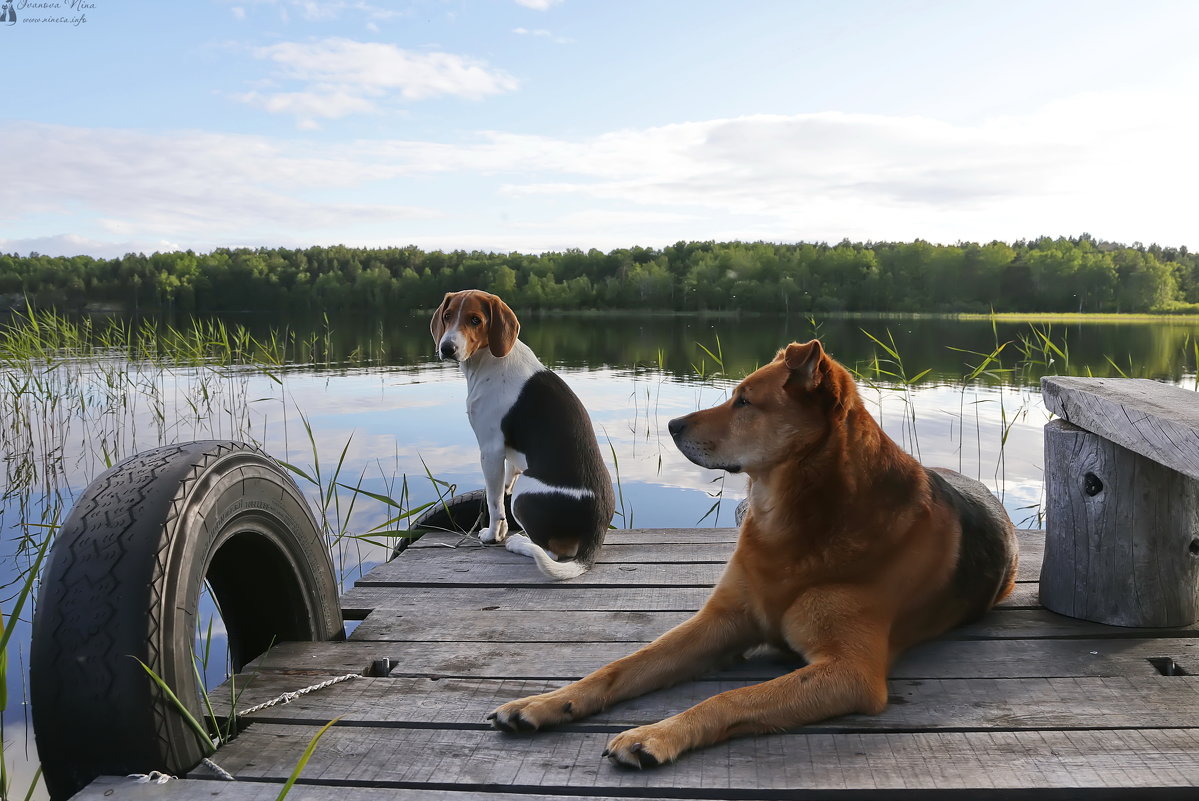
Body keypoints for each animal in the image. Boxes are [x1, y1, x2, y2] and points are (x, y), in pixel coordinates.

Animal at [431, 291, 613, 577]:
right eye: (448, 316)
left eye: (475, 320)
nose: (447, 348)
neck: (489, 360)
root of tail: (595, 532)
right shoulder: (508, 458)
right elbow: (504, 485)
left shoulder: (490, 449)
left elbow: (494, 503)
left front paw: (493, 535)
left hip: (524, 493)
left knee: (551, 553)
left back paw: (518, 543)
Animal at [481, 340, 1016, 767]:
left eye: (744, 401)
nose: (672, 424)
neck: (792, 526)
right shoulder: (719, 622)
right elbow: (623, 666)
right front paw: (548, 702)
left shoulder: (850, 671)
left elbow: (731, 699)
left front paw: (656, 734)